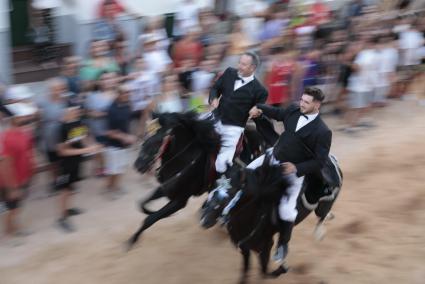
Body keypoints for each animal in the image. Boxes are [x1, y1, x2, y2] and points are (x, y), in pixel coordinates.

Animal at [126, 112, 264, 250]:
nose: (138, 165)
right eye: (144, 136)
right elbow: (142, 204)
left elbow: (150, 218)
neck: (185, 158)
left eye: (158, 140)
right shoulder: (166, 188)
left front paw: (132, 241)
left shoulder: (179, 201)